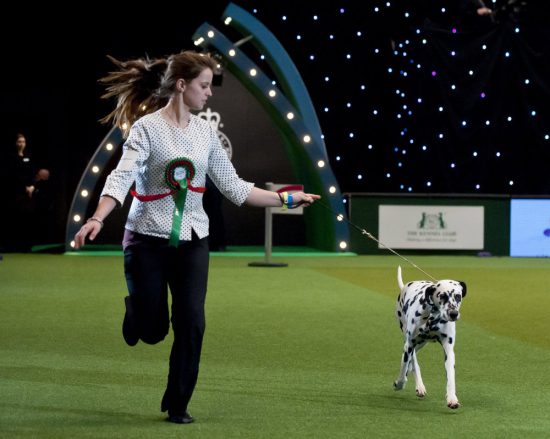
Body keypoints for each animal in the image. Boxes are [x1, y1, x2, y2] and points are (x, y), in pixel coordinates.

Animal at [394, 266, 468, 410]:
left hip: (422, 343)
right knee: (413, 361)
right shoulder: (410, 344)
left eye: (458, 296)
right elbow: (405, 367)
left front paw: (452, 398)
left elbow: (451, 377)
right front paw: (399, 383)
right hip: (409, 339)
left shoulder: (449, 350)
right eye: (442, 296)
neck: (433, 317)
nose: (453, 313)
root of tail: (405, 286)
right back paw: (419, 386)